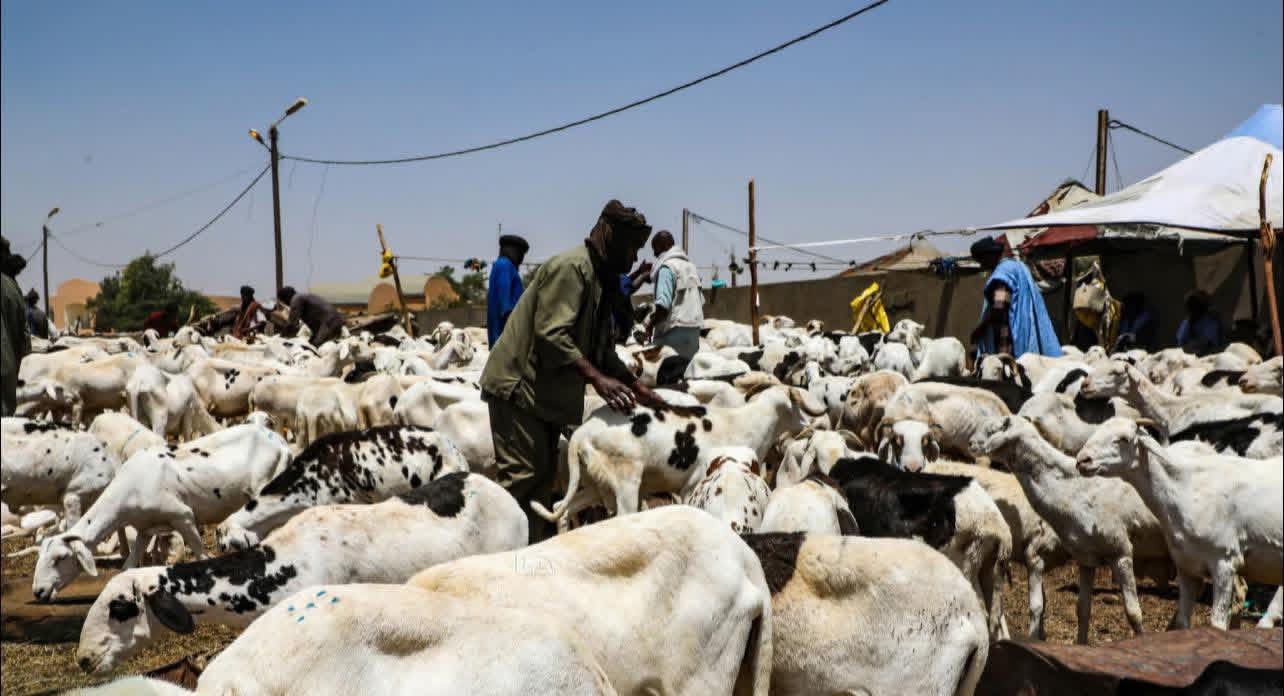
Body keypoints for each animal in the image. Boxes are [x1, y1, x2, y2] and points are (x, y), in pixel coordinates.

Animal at [533, 385, 825, 529]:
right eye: (798, 405)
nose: (813, 424)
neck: (747, 422)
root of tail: (583, 431)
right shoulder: (691, 487)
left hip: (595, 485)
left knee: (561, 509)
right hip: (626, 486)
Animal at [969, 415, 1174, 644]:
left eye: (993, 429)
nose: (970, 443)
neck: (1072, 487)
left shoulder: (1120, 552)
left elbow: (1133, 613)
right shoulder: (1086, 557)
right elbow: (1082, 609)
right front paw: (1080, 644)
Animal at [1077, 418, 1283, 630]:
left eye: (1123, 439)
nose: (1082, 460)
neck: (1186, 488)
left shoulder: (1225, 562)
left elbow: (1216, 624)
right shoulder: (1187, 566)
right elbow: (1183, 623)